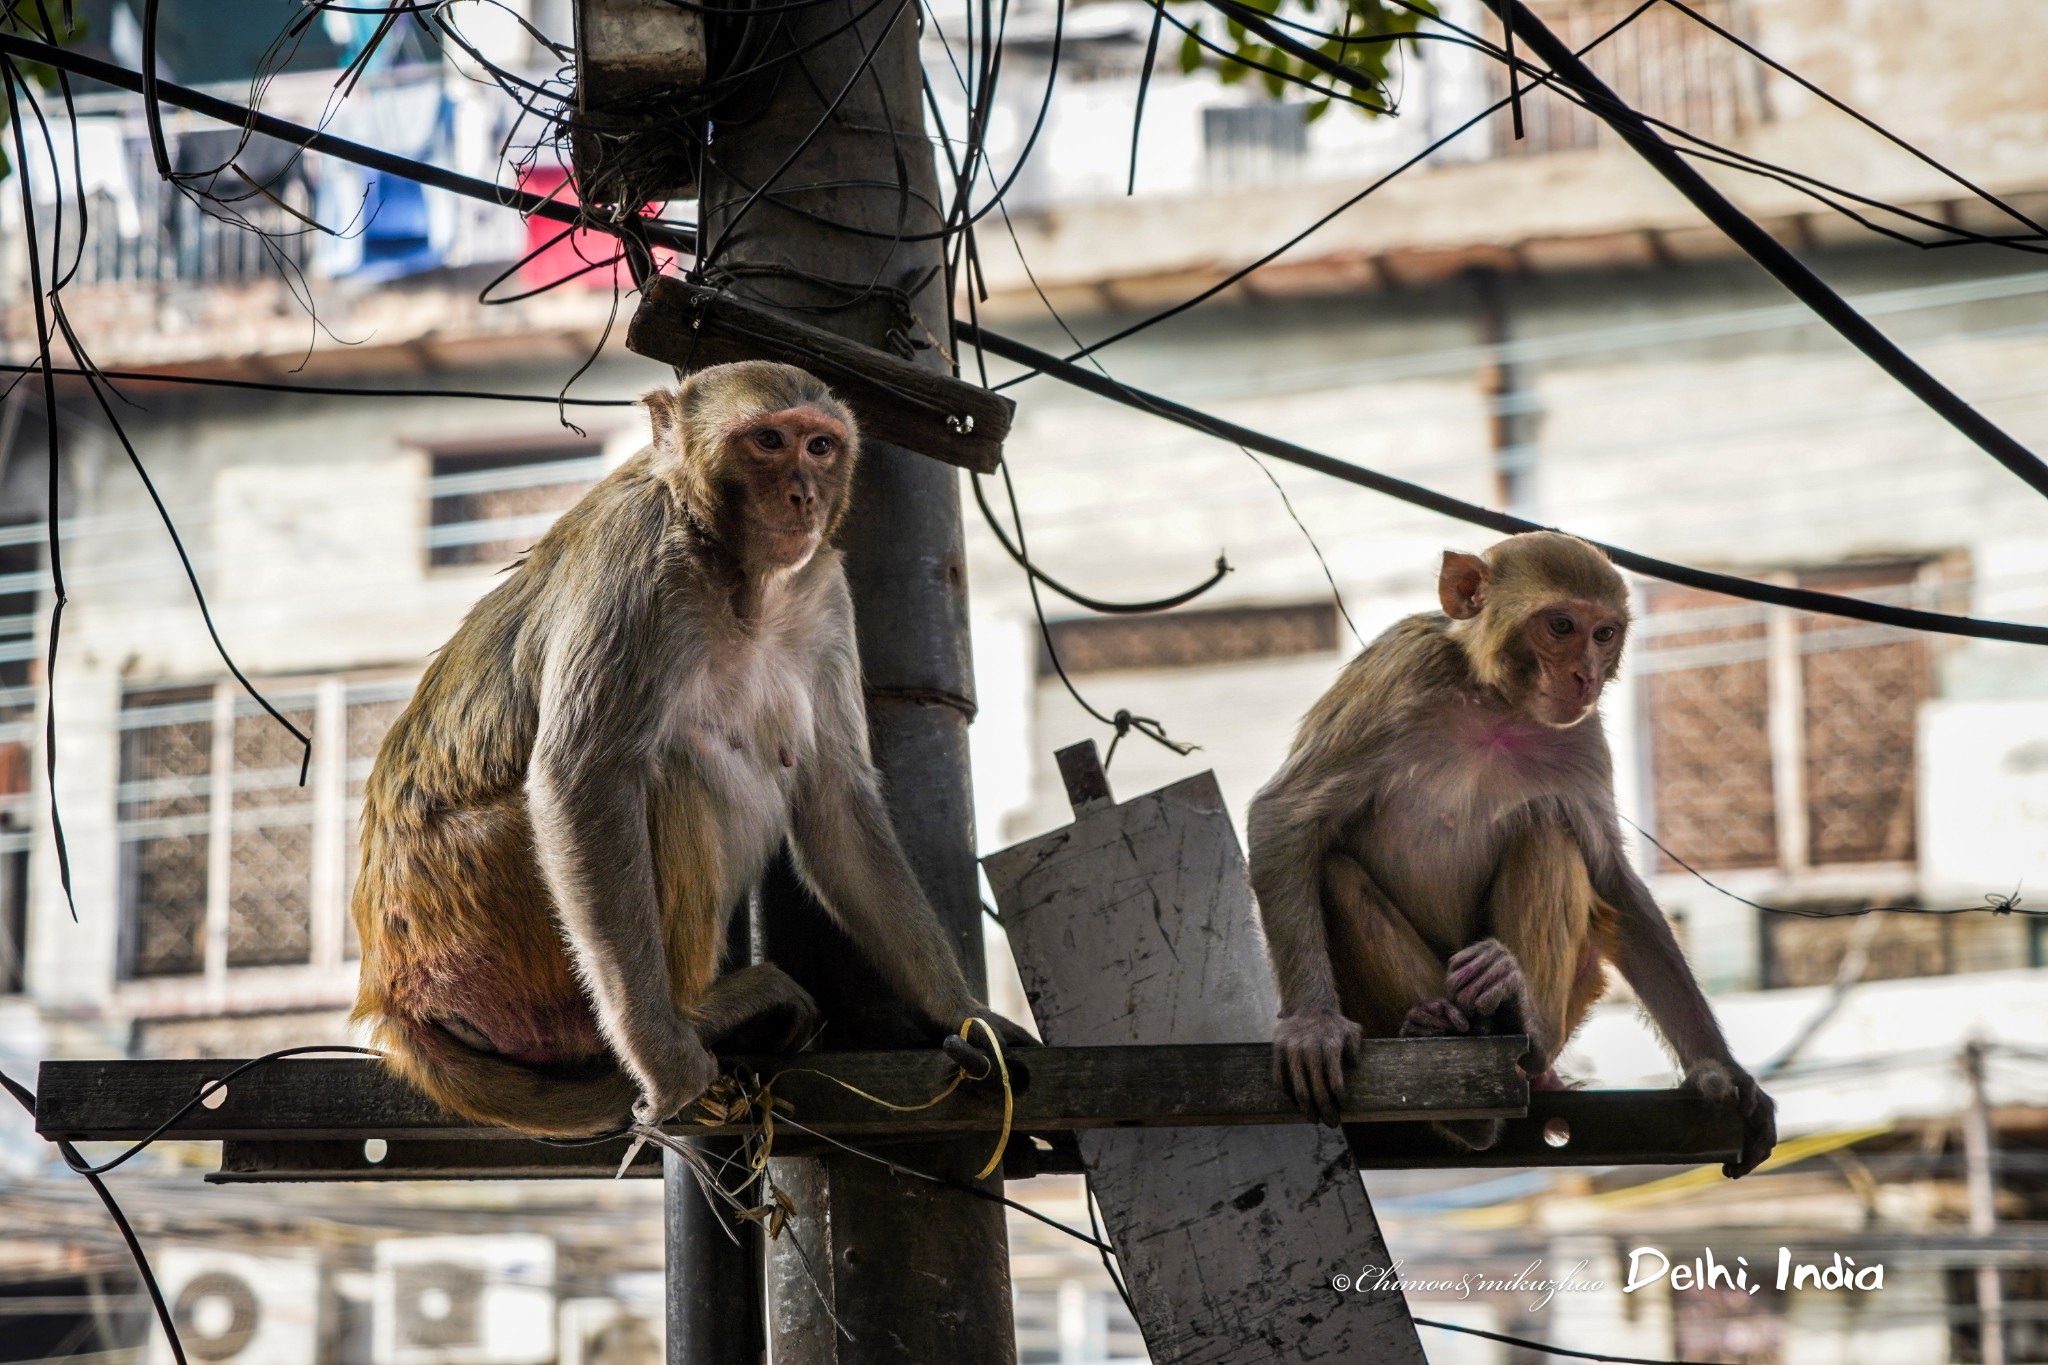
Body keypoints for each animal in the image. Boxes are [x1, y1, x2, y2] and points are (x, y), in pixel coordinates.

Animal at [356, 362, 1024, 1146]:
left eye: (821, 446)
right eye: (768, 441)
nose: (804, 493)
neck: (737, 574)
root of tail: (397, 991)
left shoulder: (822, 592)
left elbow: (834, 797)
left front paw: (964, 1011)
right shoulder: (639, 557)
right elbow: (582, 777)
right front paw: (662, 1055)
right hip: (489, 920)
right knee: (672, 769)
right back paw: (698, 1013)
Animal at [1245, 532, 1777, 1178]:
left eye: (1604, 633)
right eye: (1561, 625)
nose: (1585, 676)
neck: (1494, 703)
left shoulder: (1580, 733)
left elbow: (1611, 878)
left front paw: (1722, 1070)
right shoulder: (1401, 673)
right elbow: (1287, 815)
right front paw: (1312, 1027)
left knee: (1549, 831)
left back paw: (1519, 1022)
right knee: (1333, 873)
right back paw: (1448, 1055)